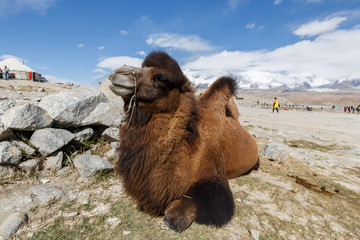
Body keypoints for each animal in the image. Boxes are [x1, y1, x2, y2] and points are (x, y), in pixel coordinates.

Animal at [107, 51, 258, 232]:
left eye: (161, 77)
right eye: (144, 67)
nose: (120, 72)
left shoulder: (214, 172)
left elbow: (203, 201)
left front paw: (174, 217)